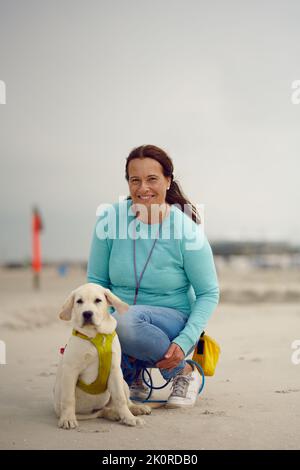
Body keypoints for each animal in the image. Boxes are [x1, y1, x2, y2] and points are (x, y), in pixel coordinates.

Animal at [53, 282, 151, 430]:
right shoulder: (70, 370)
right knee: (102, 411)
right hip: (84, 412)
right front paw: (68, 419)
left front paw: (129, 418)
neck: (97, 335)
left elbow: (120, 399)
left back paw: (136, 409)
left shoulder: (115, 370)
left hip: (122, 381)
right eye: (79, 301)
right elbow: (69, 398)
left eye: (98, 300)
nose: (87, 313)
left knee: (123, 402)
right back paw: (114, 414)